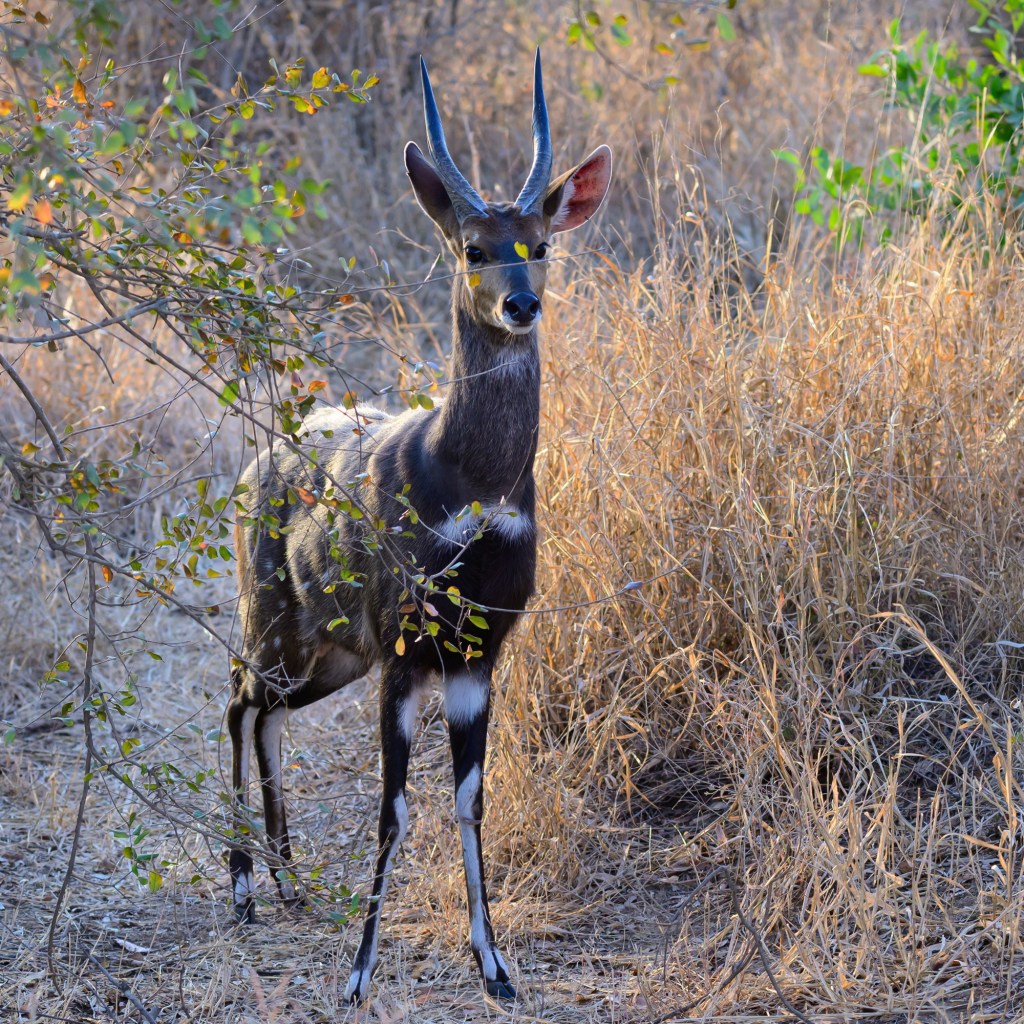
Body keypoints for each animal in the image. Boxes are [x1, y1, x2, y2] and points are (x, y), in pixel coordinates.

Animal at [227, 50, 612, 1004]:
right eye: (473, 248)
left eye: (540, 244)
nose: (521, 306)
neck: (468, 485)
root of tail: (252, 470)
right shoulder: (405, 656)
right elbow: (393, 809)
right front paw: (358, 976)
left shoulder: (475, 659)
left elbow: (471, 800)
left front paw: (496, 968)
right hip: (279, 625)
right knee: (235, 696)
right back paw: (245, 886)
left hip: (330, 657)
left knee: (265, 713)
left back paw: (286, 880)